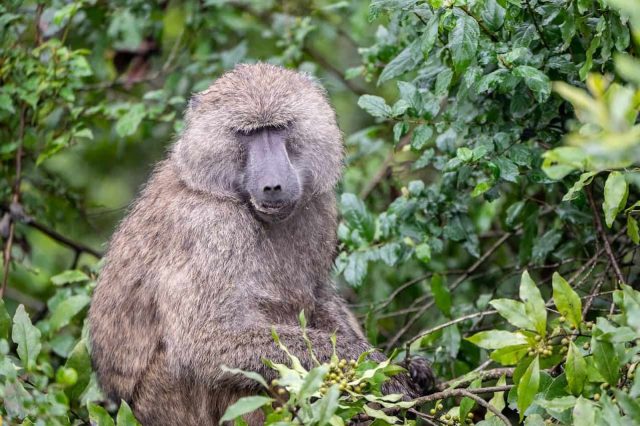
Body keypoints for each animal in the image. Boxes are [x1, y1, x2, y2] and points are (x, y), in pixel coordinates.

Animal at [88, 63, 434, 425]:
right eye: (248, 133)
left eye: (278, 128)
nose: (272, 185)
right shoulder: (210, 228)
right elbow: (206, 340)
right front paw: (376, 367)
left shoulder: (320, 208)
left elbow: (318, 299)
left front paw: (411, 368)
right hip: (165, 401)